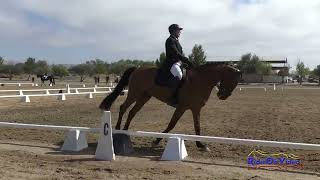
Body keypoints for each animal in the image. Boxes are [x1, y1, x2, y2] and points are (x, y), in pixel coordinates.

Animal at [99, 62, 241, 151]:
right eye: (233, 80)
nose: (222, 96)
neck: (200, 81)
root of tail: (138, 68)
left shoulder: (195, 108)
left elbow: (197, 127)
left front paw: (201, 145)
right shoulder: (182, 107)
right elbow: (172, 124)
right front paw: (156, 140)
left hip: (144, 97)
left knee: (132, 112)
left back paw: (126, 131)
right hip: (134, 93)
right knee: (123, 107)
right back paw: (118, 130)